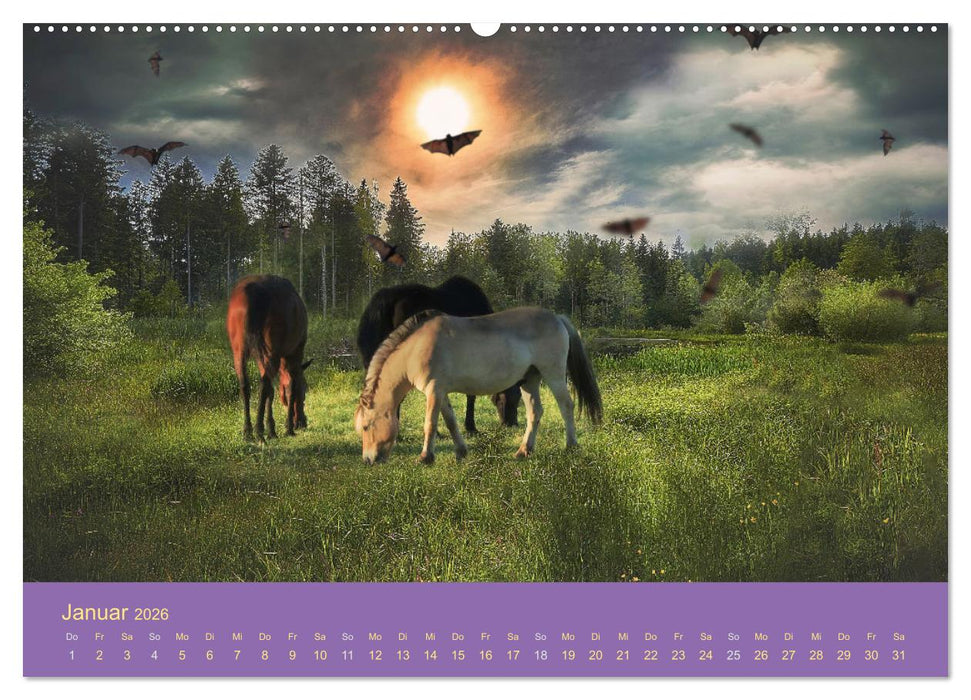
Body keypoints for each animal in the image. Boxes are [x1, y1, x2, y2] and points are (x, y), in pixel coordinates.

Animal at [227, 275, 313, 441]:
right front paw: (288, 427)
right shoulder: (295, 353)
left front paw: (272, 428)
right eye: (304, 390)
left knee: (246, 384)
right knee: (263, 386)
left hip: (239, 350)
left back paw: (248, 431)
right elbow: (290, 388)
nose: (302, 422)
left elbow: (272, 392)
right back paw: (259, 430)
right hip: (272, 350)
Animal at [355, 307, 603, 465]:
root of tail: (557, 318)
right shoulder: (441, 392)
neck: (416, 347)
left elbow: (430, 424)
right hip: (529, 381)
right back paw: (524, 451)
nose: (367, 460)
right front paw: (461, 451)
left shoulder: (433, 390)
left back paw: (570, 445)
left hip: (554, 375)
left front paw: (425, 457)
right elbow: (451, 422)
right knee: (535, 412)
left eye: (366, 427)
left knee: (566, 406)